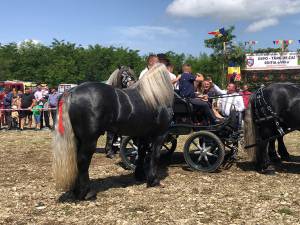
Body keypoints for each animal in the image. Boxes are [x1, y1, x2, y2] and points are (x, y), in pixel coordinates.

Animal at [52, 64, 173, 200]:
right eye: (123, 76)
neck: (154, 96)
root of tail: (71, 91)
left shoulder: (143, 135)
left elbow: (141, 153)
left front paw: (140, 175)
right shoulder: (160, 134)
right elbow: (155, 155)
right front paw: (153, 181)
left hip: (78, 139)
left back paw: (77, 191)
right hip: (89, 140)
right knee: (83, 160)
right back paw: (87, 193)